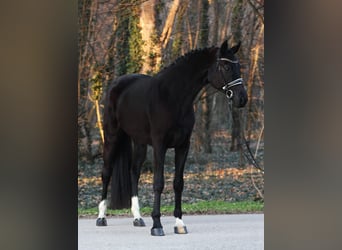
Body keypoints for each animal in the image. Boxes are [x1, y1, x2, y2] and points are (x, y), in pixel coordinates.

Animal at [96, 40, 248, 235]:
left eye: (238, 66)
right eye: (226, 66)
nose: (242, 98)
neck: (173, 97)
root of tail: (116, 84)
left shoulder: (183, 145)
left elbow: (178, 183)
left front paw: (179, 223)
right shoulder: (160, 145)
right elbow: (158, 183)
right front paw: (157, 225)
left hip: (139, 142)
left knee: (134, 172)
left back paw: (137, 217)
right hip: (112, 136)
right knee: (106, 172)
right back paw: (101, 217)